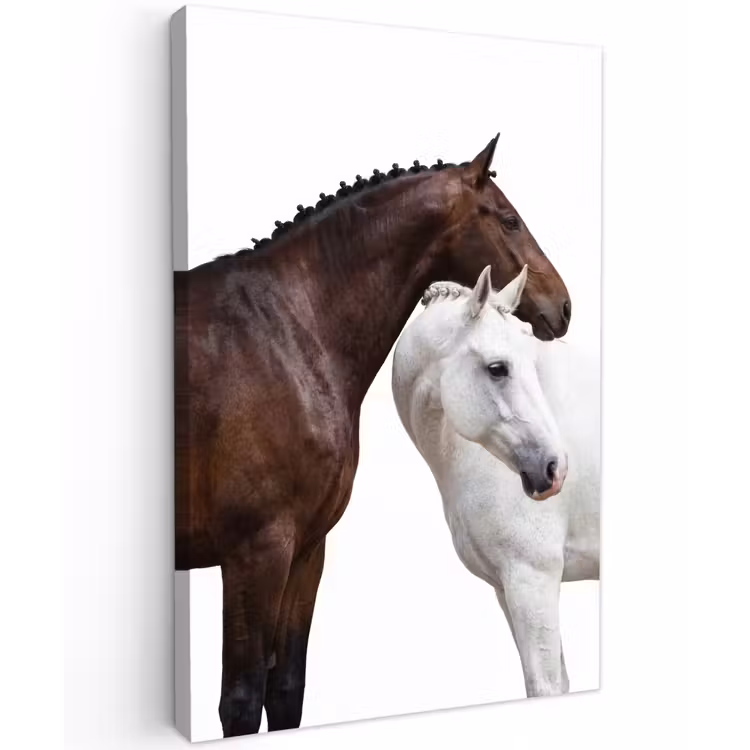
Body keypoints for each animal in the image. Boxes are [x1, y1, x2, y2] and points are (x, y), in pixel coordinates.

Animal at [174, 134, 574, 738]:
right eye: (509, 220)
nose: (563, 305)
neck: (281, 332)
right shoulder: (253, 553)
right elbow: (240, 702)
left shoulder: (305, 550)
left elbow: (285, 691)